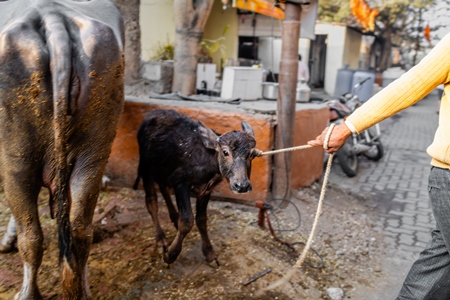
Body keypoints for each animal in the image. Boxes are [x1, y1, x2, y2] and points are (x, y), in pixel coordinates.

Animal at [0, 1, 125, 298]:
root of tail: (52, 15)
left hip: (17, 158)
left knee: (31, 234)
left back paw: (27, 293)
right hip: (93, 153)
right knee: (80, 229)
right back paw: (81, 289)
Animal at [134, 109, 256, 264]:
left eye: (252, 154)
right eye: (225, 152)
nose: (242, 186)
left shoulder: (206, 190)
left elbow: (201, 220)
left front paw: (209, 253)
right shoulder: (180, 181)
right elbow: (187, 220)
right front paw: (170, 255)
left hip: (162, 169)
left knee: (163, 187)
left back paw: (174, 217)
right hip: (146, 166)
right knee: (151, 201)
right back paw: (160, 238)